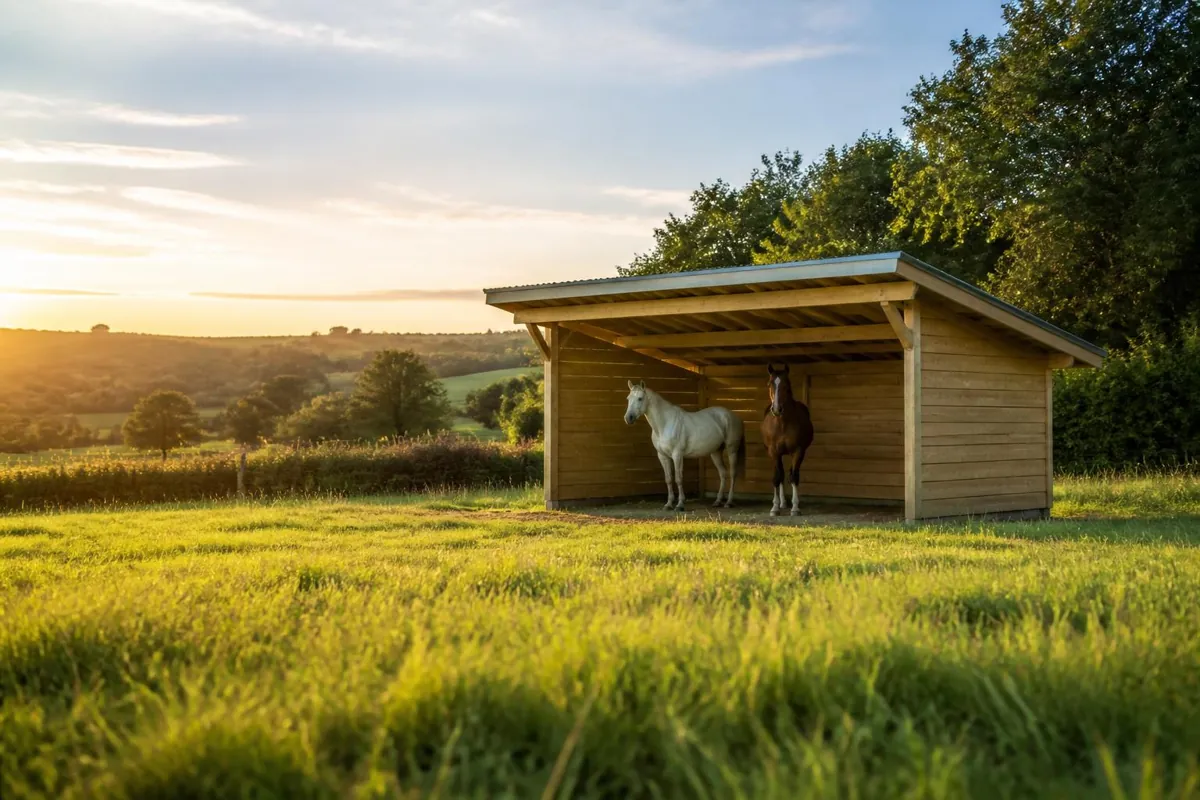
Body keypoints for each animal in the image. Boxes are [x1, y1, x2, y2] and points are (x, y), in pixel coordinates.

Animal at [624, 380, 746, 512]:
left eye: (640, 398)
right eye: (628, 398)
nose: (628, 418)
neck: (665, 424)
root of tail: (732, 415)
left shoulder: (677, 455)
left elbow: (678, 478)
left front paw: (680, 504)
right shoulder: (662, 456)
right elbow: (668, 479)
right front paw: (668, 504)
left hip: (732, 450)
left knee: (732, 473)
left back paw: (729, 502)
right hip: (716, 451)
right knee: (722, 473)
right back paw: (717, 501)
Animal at [760, 364, 815, 516]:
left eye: (787, 385)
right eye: (769, 384)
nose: (777, 409)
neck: (782, 424)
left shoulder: (798, 451)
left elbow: (794, 476)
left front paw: (795, 507)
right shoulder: (774, 452)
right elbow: (777, 477)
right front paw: (775, 507)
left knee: (789, 474)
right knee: (780, 475)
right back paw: (782, 503)